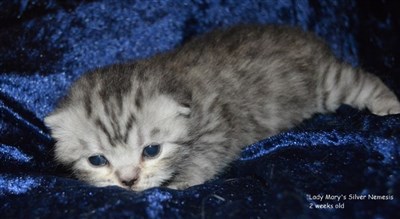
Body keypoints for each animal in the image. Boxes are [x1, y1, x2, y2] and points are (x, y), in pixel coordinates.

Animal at [44, 24, 400, 191]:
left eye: (151, 151)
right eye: (97, 160)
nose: (128, 181)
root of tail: (302, 34)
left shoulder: (218, 128)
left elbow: (205, 160)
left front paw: (179, 184)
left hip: (326, 83)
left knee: (358, 79)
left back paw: (388, 101)